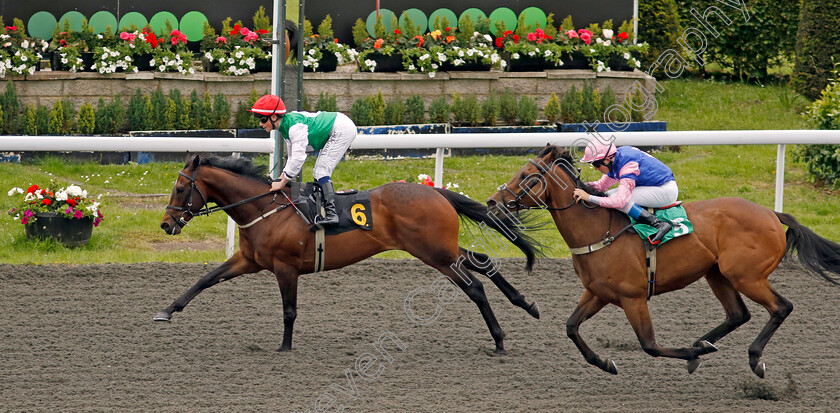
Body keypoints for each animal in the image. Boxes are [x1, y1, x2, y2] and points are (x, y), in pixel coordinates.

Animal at [155, 153, 540, 352]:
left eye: (180, 188)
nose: (166, 224)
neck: (266, 208)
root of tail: (437, 192)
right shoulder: (249, 260)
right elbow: (206, 280)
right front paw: (167, 311)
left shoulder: (285, 267)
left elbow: (290, 311)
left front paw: (285, 346)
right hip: (441, 247)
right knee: (483, 262)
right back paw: (526, 304)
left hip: (435, 254)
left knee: (474, 287)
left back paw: (499, 339)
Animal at [486, 146, 840, 376]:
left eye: (527, 176)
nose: (492, 201)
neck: (598, 229)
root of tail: (772, 213)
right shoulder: (598, 292)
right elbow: (571, 327)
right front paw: (605, 363)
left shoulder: (633, 297)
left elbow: (650, 345)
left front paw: (694, 353)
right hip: (717, 274)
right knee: (738, 314)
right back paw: (705, 343)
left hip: (746, 276)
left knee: (781, 307)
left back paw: (751, 358)